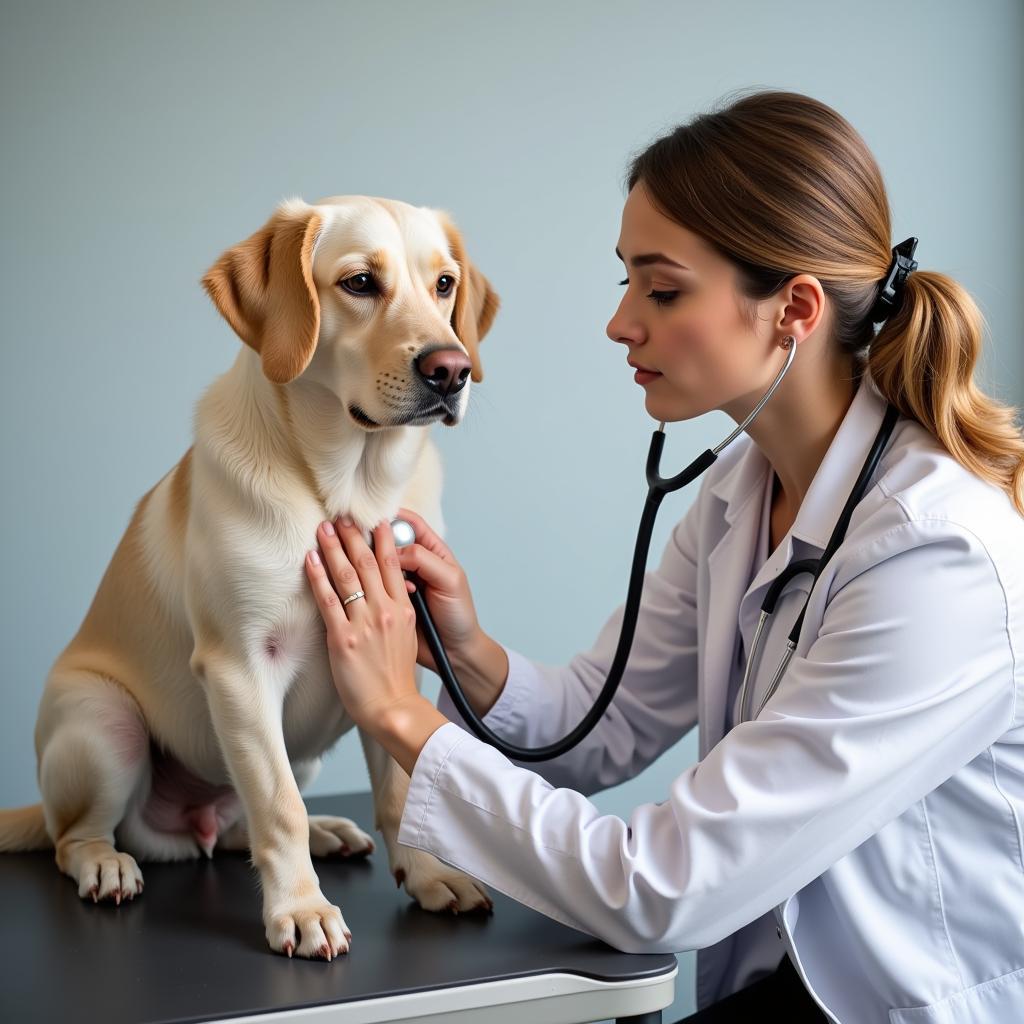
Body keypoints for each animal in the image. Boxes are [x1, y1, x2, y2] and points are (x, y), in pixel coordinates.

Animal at [0, 193, 499, 958]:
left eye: (444, 284)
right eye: (359, 283)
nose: (452, 369)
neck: (346, 489)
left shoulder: (400, 662)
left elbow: (397, 787)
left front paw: (426, 874)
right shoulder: (240, 667)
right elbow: (278, 804)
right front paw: (301, 910)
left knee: (238, 826)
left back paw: (322, 833)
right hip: (106, 724)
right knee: (76, 835)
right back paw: (106, 863)